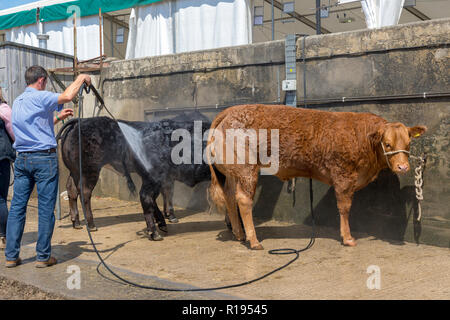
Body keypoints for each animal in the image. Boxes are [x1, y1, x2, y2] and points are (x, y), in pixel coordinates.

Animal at [56, 114, 211, 241]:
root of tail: (81, 121)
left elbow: (166, 193)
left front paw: (167, 216)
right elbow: (166, 192)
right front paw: (170, 216)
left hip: (75, 171)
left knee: (71, 189)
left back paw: (76, 222)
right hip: (90, 170)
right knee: (85, 192)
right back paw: (91, 224)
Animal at [207, 105, 426, 250]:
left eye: (408, 143)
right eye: (387, 144)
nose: (403, 166)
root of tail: (229, 112)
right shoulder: (343, 176)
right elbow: (344, 207)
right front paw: (348, 238)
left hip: (234, 171)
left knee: (229, 196)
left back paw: (239, 234)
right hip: (247, 169)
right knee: (243, 199)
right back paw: (254, 241)